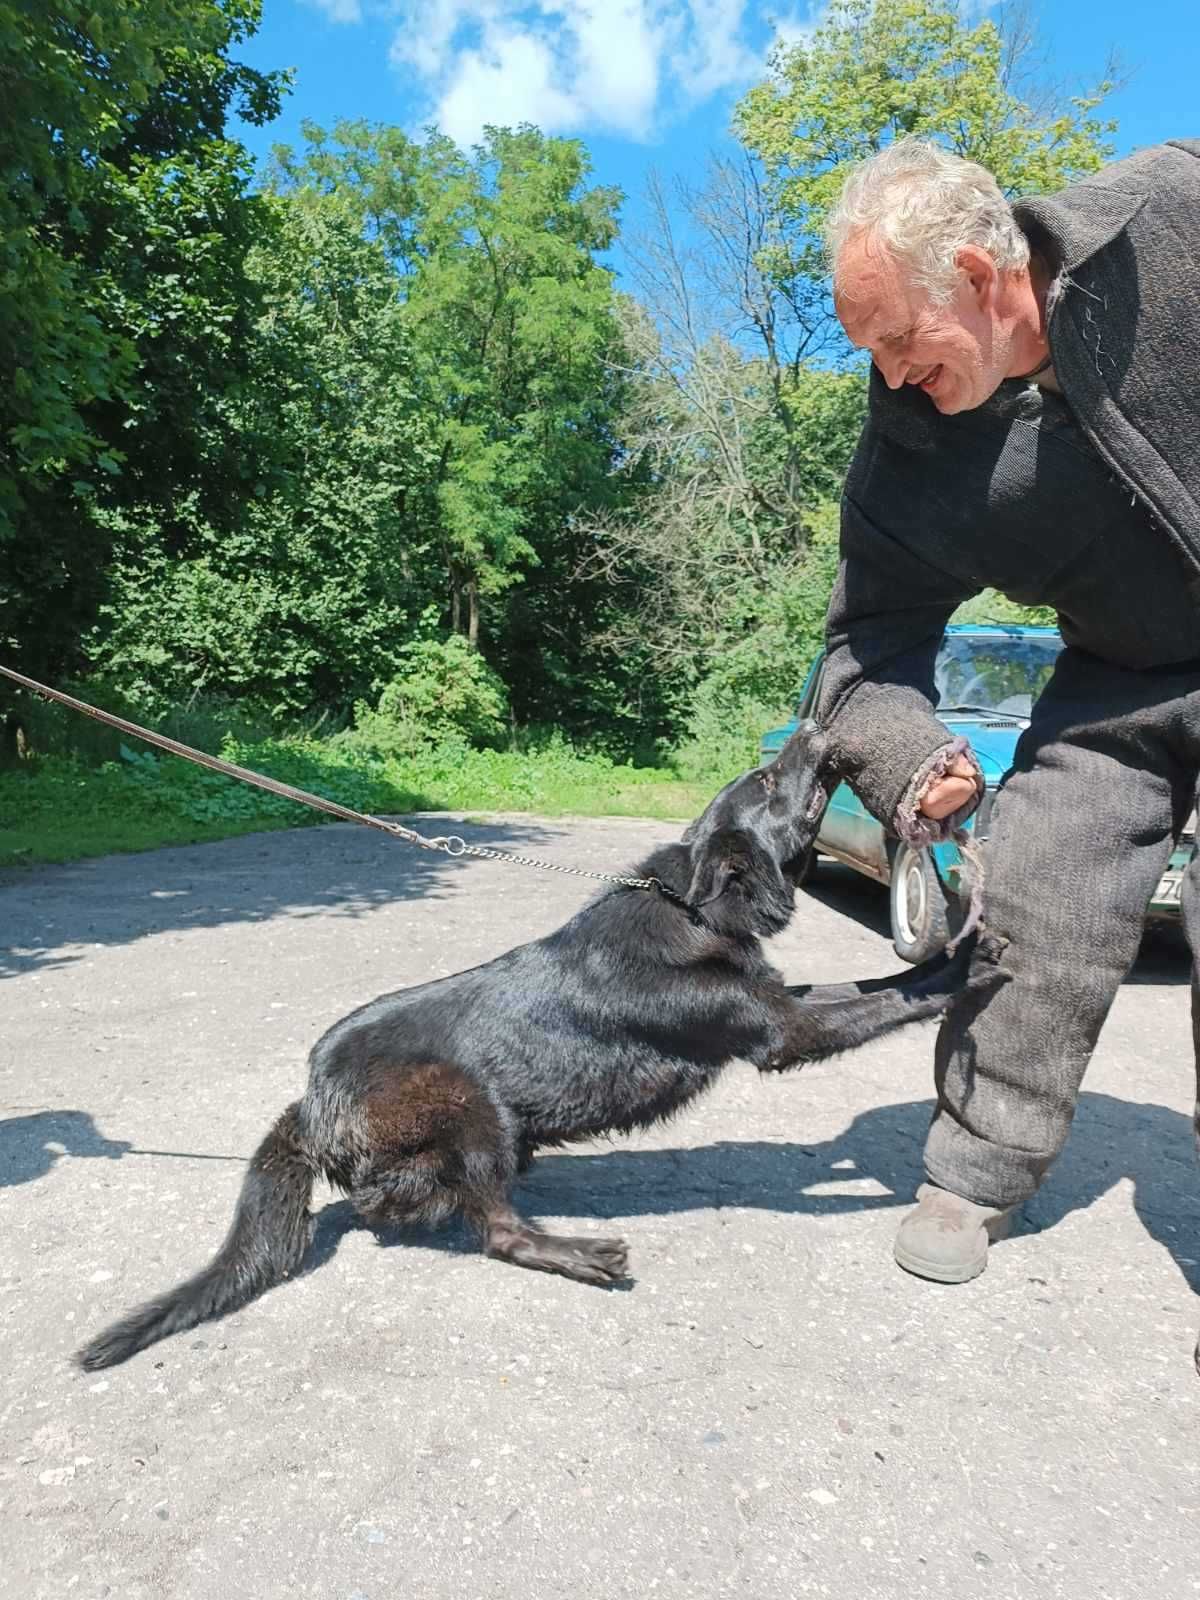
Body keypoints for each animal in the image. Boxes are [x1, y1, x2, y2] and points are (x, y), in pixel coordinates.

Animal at [77, 732, 1004, 1369]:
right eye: (772, 782)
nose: (813, 725)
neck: (693, 903)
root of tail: (309, 1102)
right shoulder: (782, 1032)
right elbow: (887, 1000)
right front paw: (967, 960)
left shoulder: (782, 1001)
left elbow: (869, 986)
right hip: (470, 1103)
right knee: (488, 1229)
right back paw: (575, 1251)